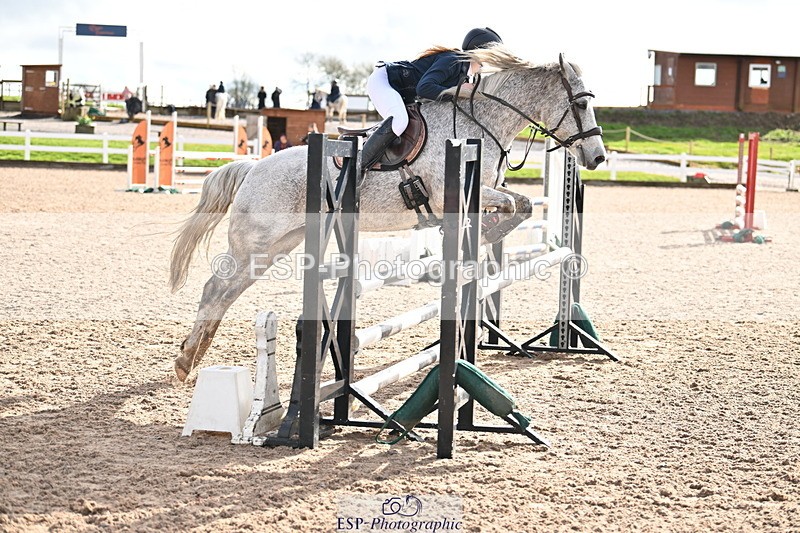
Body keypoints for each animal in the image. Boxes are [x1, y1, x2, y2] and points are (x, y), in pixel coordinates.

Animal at [169, 47, 606, 382]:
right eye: (582, 103)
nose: (597, 158)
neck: (480, 123)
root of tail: (253, 168)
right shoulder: (456, 194)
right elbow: (514, 205)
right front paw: (485, 233)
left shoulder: (484, 191)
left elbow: (522, 205)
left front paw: (486, 234)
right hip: (255, 243)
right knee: (214, 289)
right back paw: (185, 362)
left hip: (275, 247)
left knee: (226, 292)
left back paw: (192, 357)